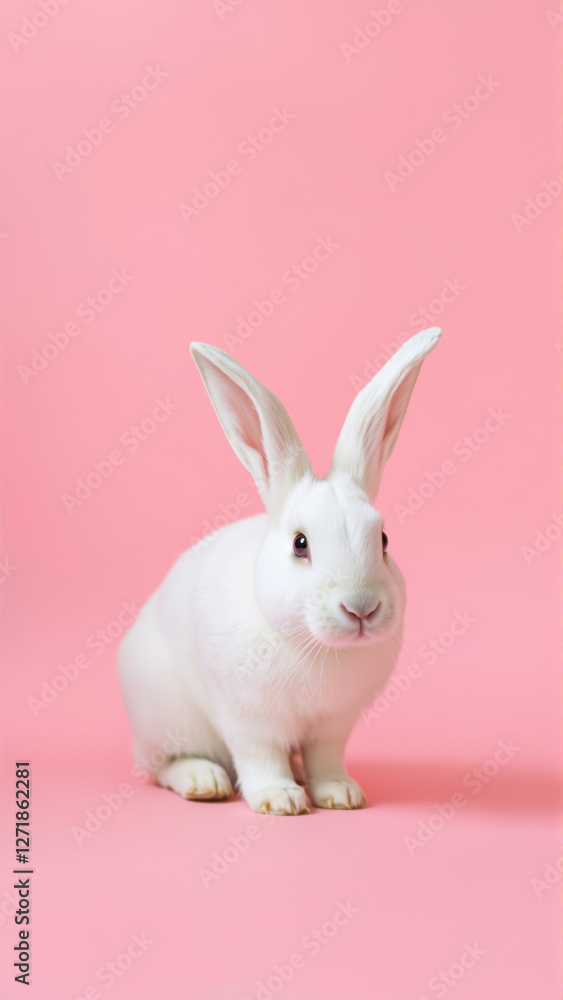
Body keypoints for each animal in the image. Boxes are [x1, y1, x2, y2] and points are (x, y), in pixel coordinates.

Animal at [118, 326, 441, 815]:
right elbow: (259, 756)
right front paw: (281, 800)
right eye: (299, 544)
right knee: (161, 766)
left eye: (384, 540)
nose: (361, 608)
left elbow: (327, 758)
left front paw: (342, 794)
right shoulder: (248, 719)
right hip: (168, 718)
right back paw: (203, 781)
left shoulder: (334, 726)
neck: (317, 647)